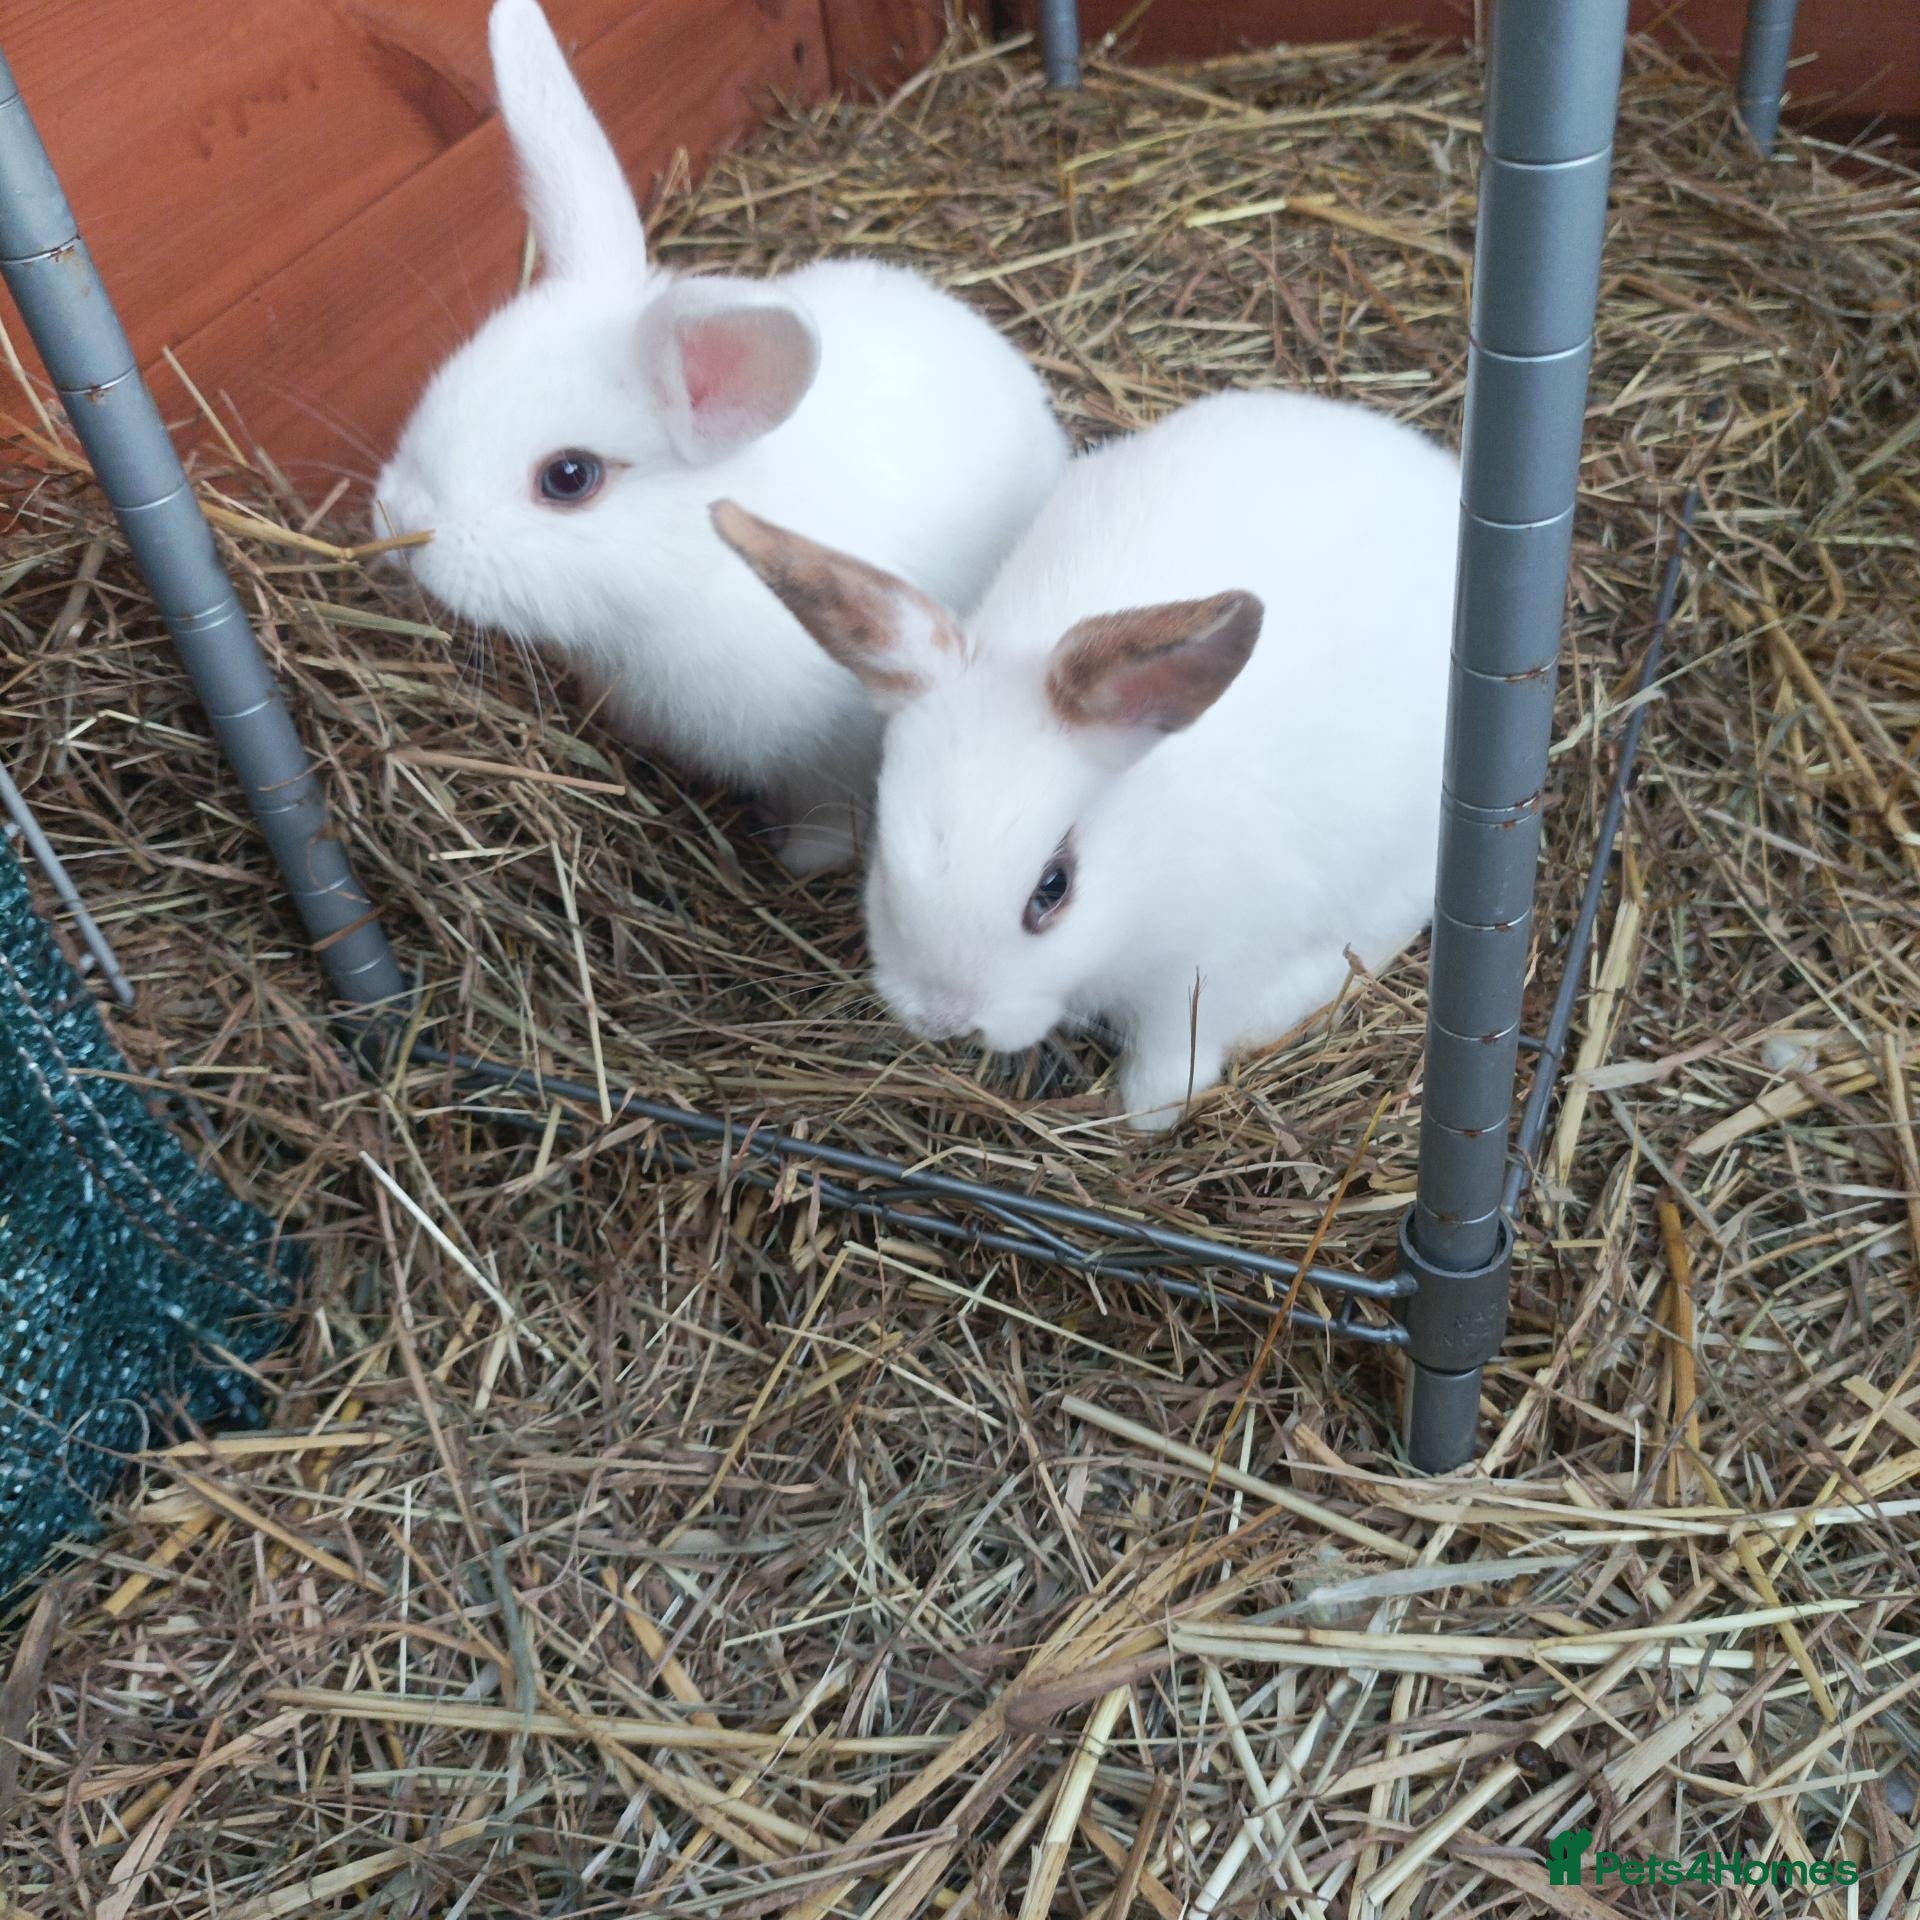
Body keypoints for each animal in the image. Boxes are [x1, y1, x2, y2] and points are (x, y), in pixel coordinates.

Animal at [371, 0, 1070, 876]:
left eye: (568, 477)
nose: (400, 523)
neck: (688, 576)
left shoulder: (835, 755)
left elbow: (830, 820)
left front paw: (796, 860)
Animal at [709, 387, 1460, 1128]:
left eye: (1054, 888)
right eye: (886, 859)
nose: (947, 1018)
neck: (1148, 866)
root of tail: (1436, 476)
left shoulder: (1200, 975)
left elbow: (1173, 1062)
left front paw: (1144, 1116)